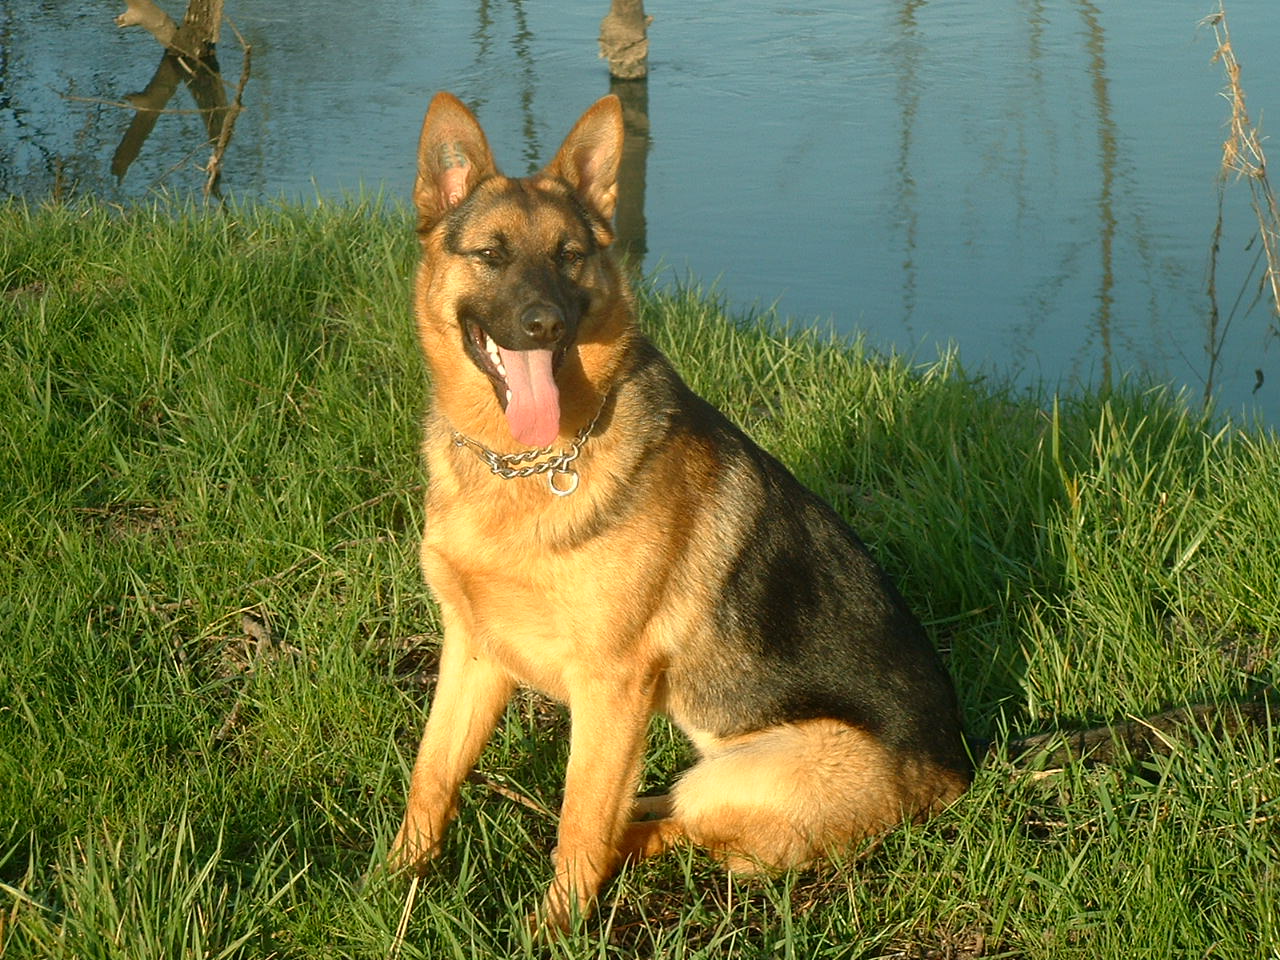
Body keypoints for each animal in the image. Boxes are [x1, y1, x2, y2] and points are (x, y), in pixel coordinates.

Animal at [389, 92, 967, 931]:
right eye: (491, 255)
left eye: (569, 255)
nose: (544, 325)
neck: (527, 464)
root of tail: (956, 773)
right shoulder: (473, 653)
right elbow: (431, 775)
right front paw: (390, 885)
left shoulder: (611, 690)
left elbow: (581, 822)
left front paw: (552, 932)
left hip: (737, 778)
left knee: (657, 828)